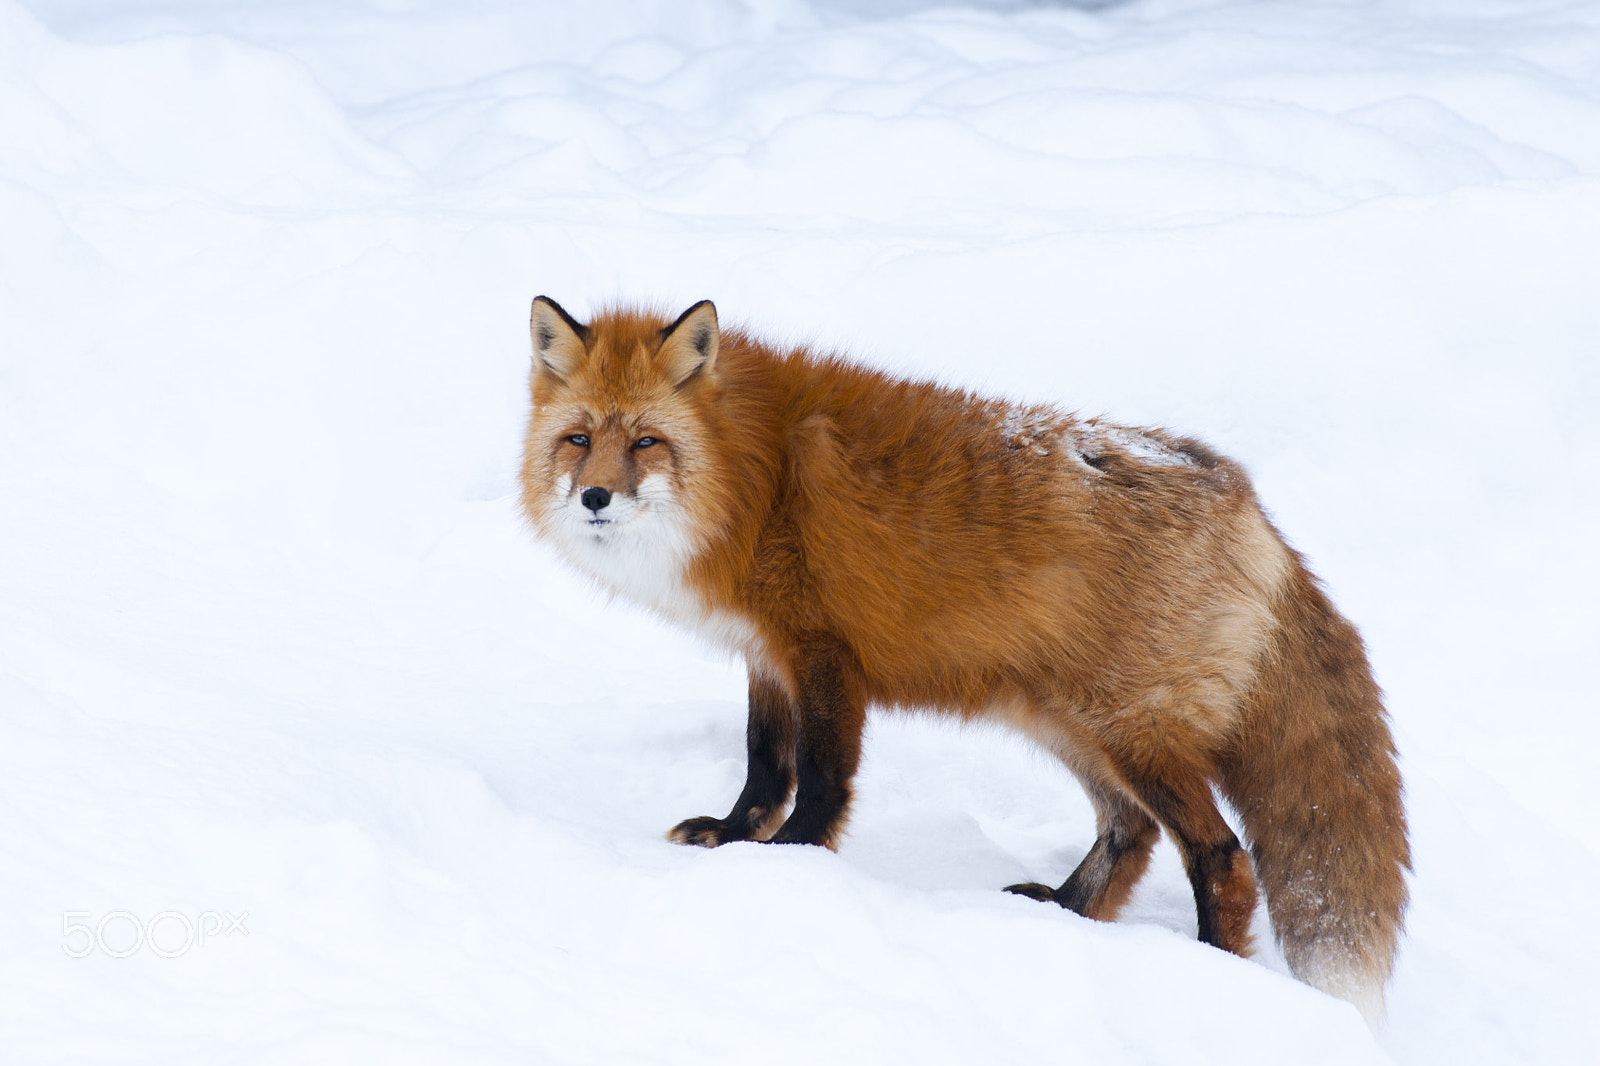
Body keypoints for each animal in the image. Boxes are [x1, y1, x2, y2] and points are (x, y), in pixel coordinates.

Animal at [518, 296, 1408, 1011]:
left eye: (645, 442)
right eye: (578, 439)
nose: (595, 497)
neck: (754, 478)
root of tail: (1248, 504)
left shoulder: (824, 653)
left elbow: (822, 781)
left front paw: (791, 866)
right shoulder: (766, 656)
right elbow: (765, 766)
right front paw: (736, 841)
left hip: (1132, 733)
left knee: (1221, 857)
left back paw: (1206, 972)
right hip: (1069, 723)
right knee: (1130, 831)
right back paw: (1059, 912)